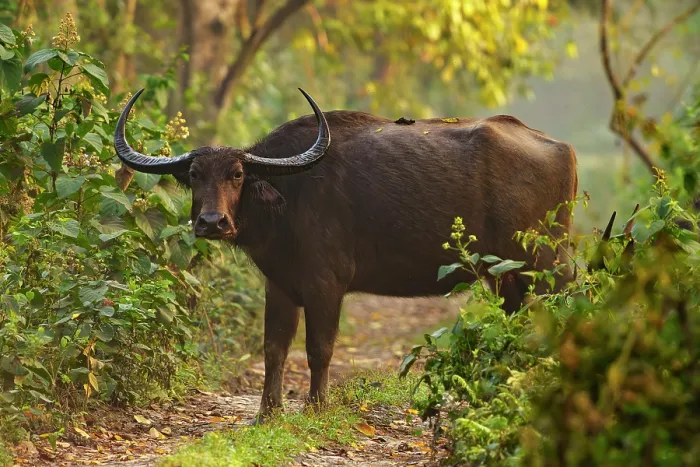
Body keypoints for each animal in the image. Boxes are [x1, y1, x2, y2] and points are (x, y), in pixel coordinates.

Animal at [114, 88, 577, 422]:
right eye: (194, 175)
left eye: (238, 174)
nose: (212, 222)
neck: (289, 193)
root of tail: (562, 149)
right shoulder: (280, 285)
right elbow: (274, 348)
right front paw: (267, 413)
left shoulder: (326, 284)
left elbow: (319, 347)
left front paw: (316, 407)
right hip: (507, 277)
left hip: (546, 267)